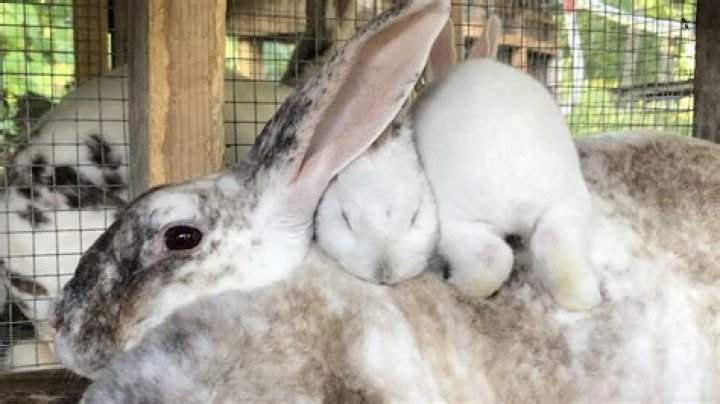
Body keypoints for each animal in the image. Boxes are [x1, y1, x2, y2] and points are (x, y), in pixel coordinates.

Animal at [412, 25, 603, 311]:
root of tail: (519, 197)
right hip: (566, 210)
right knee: (557, 254)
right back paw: (588, 299)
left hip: (458, 226)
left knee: (491, 261)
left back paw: (456, 284)